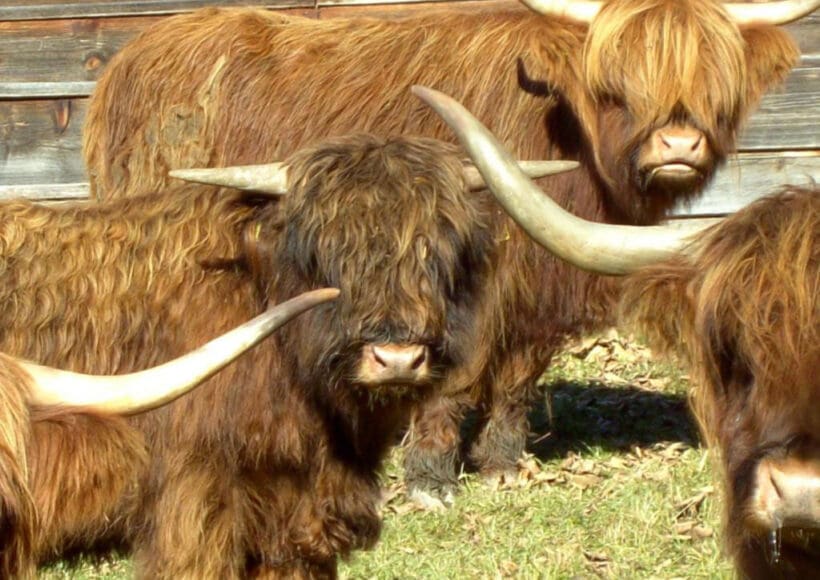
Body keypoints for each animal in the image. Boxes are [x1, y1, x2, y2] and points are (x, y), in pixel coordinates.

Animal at [81, 0, 812, 498]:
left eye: (716, 85)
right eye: (617, 87)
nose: (678, 146)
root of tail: (131, 55)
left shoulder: (535, 288)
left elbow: (517, 377)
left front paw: (501, 462)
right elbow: (454, 373)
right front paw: (430, 476)